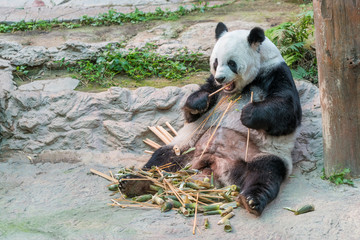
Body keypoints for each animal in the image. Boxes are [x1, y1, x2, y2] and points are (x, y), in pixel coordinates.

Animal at [119, 23, 302, 217]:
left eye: (231, 63)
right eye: (215, 62)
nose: (220, 78)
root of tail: (214, 164)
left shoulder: (276, 73)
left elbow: (287, 112)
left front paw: (248, 114)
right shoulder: (213, 85)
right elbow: (194, 109)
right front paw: (199, 103)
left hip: (260, 154)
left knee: (265, 173)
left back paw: (252, 200)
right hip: (186, 147)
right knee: (161, 160)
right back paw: (132, 182)